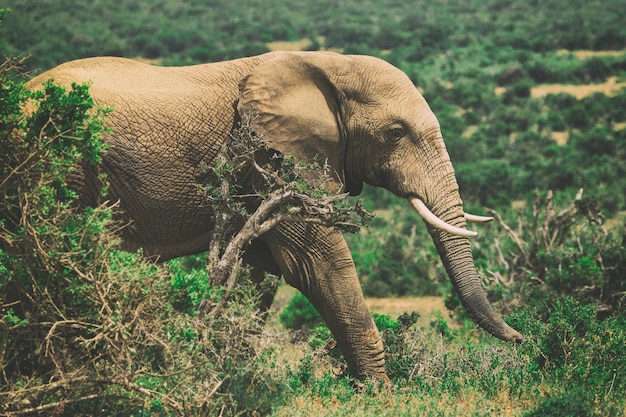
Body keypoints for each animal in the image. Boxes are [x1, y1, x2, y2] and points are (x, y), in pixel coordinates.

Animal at [26, 51, 520, 380]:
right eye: (396, 133)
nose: (521, 339)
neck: (327, 65)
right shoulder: (271, 157)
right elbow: (316, 261)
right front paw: (381, 393)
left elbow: (260, 269)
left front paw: (226, 375)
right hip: (59, 160)